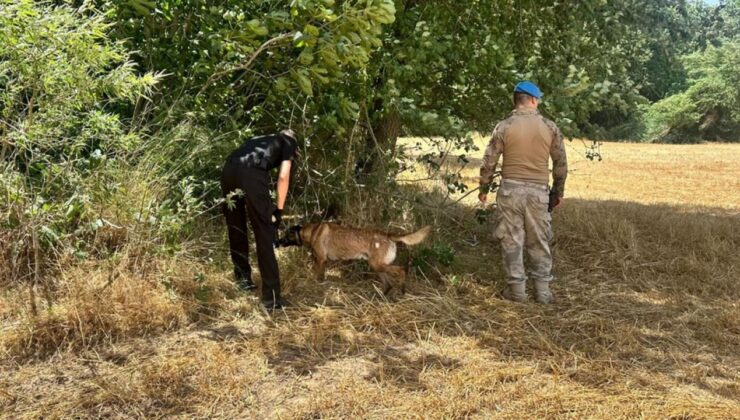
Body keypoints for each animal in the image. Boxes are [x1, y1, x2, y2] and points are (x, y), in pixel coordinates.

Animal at [284, 223, 434, 296]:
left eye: (286, 235)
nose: (278, 242)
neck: (313, 231)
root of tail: (388, 235)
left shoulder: (320, 259)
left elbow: (318, 275)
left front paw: (316, 284)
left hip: (378, 265)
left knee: (401, 270)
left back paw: (402, 290)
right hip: (376, 266)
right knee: (388, 284)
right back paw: (380, 296)